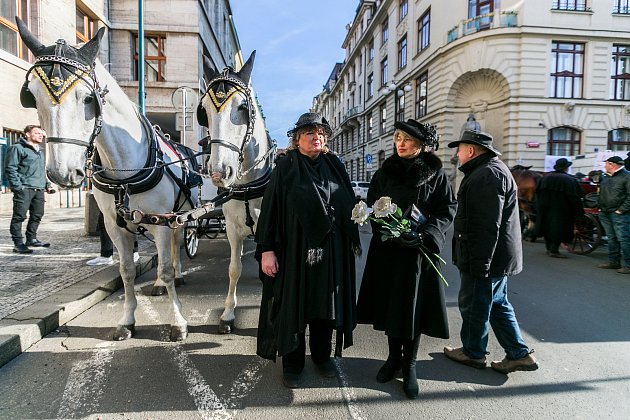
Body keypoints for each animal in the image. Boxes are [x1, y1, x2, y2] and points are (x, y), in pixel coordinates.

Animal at [17, 18, 195, 342]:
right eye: (32, 97)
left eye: (89, 98)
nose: (63, 172)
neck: (125, 171)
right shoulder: (115, 226)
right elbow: (126, 270)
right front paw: (127, 320)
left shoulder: (162, 221)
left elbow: (163, 266)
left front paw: (178, 321)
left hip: (179, 216)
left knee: (176, 245)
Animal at [198, 52, 276, 334]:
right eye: (204, 111)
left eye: (243, 107)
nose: (219, 171)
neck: (249, 186)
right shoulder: (232, 228)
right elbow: (234, 269)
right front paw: (228, 313)